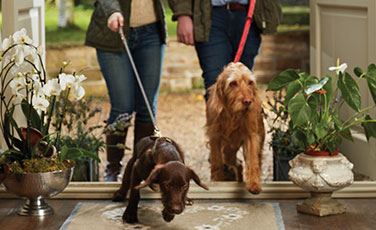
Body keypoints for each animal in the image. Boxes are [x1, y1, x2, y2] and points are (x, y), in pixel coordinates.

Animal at [206, 61, 264, 194]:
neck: (233, 113)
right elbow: (216, 161)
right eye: (233, 83)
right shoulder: (214, 136)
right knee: (237, 163)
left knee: (248, 162)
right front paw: (217, 180)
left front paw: (254, 184)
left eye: (250, 82)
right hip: (227, 150)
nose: (248, 101)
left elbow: (252, 161)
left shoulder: (251, 136)